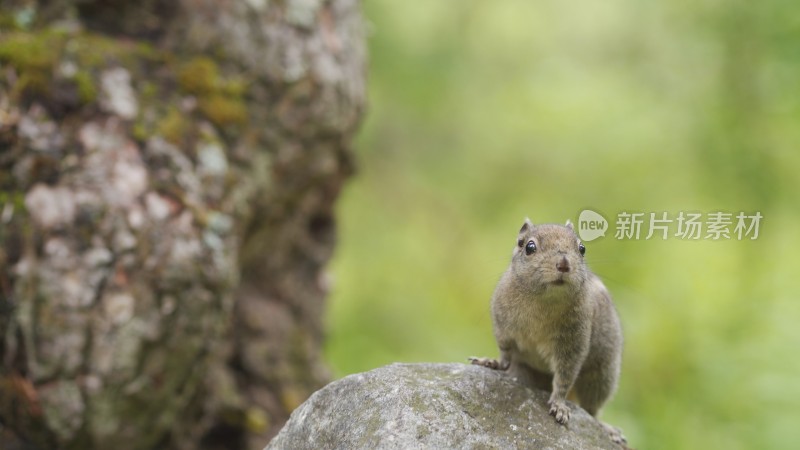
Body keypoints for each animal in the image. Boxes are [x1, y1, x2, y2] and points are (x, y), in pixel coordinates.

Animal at [468, 220, 624, 444]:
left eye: (582, 248)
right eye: (529, 247)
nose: (564, 264)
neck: (543, 301)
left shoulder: (573, 343)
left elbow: (564, 377)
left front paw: (559, 405)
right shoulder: (502, 326)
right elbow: (505, 353)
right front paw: (493, 362)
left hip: (600, 377)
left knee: (591, 410)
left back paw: (606, 428)